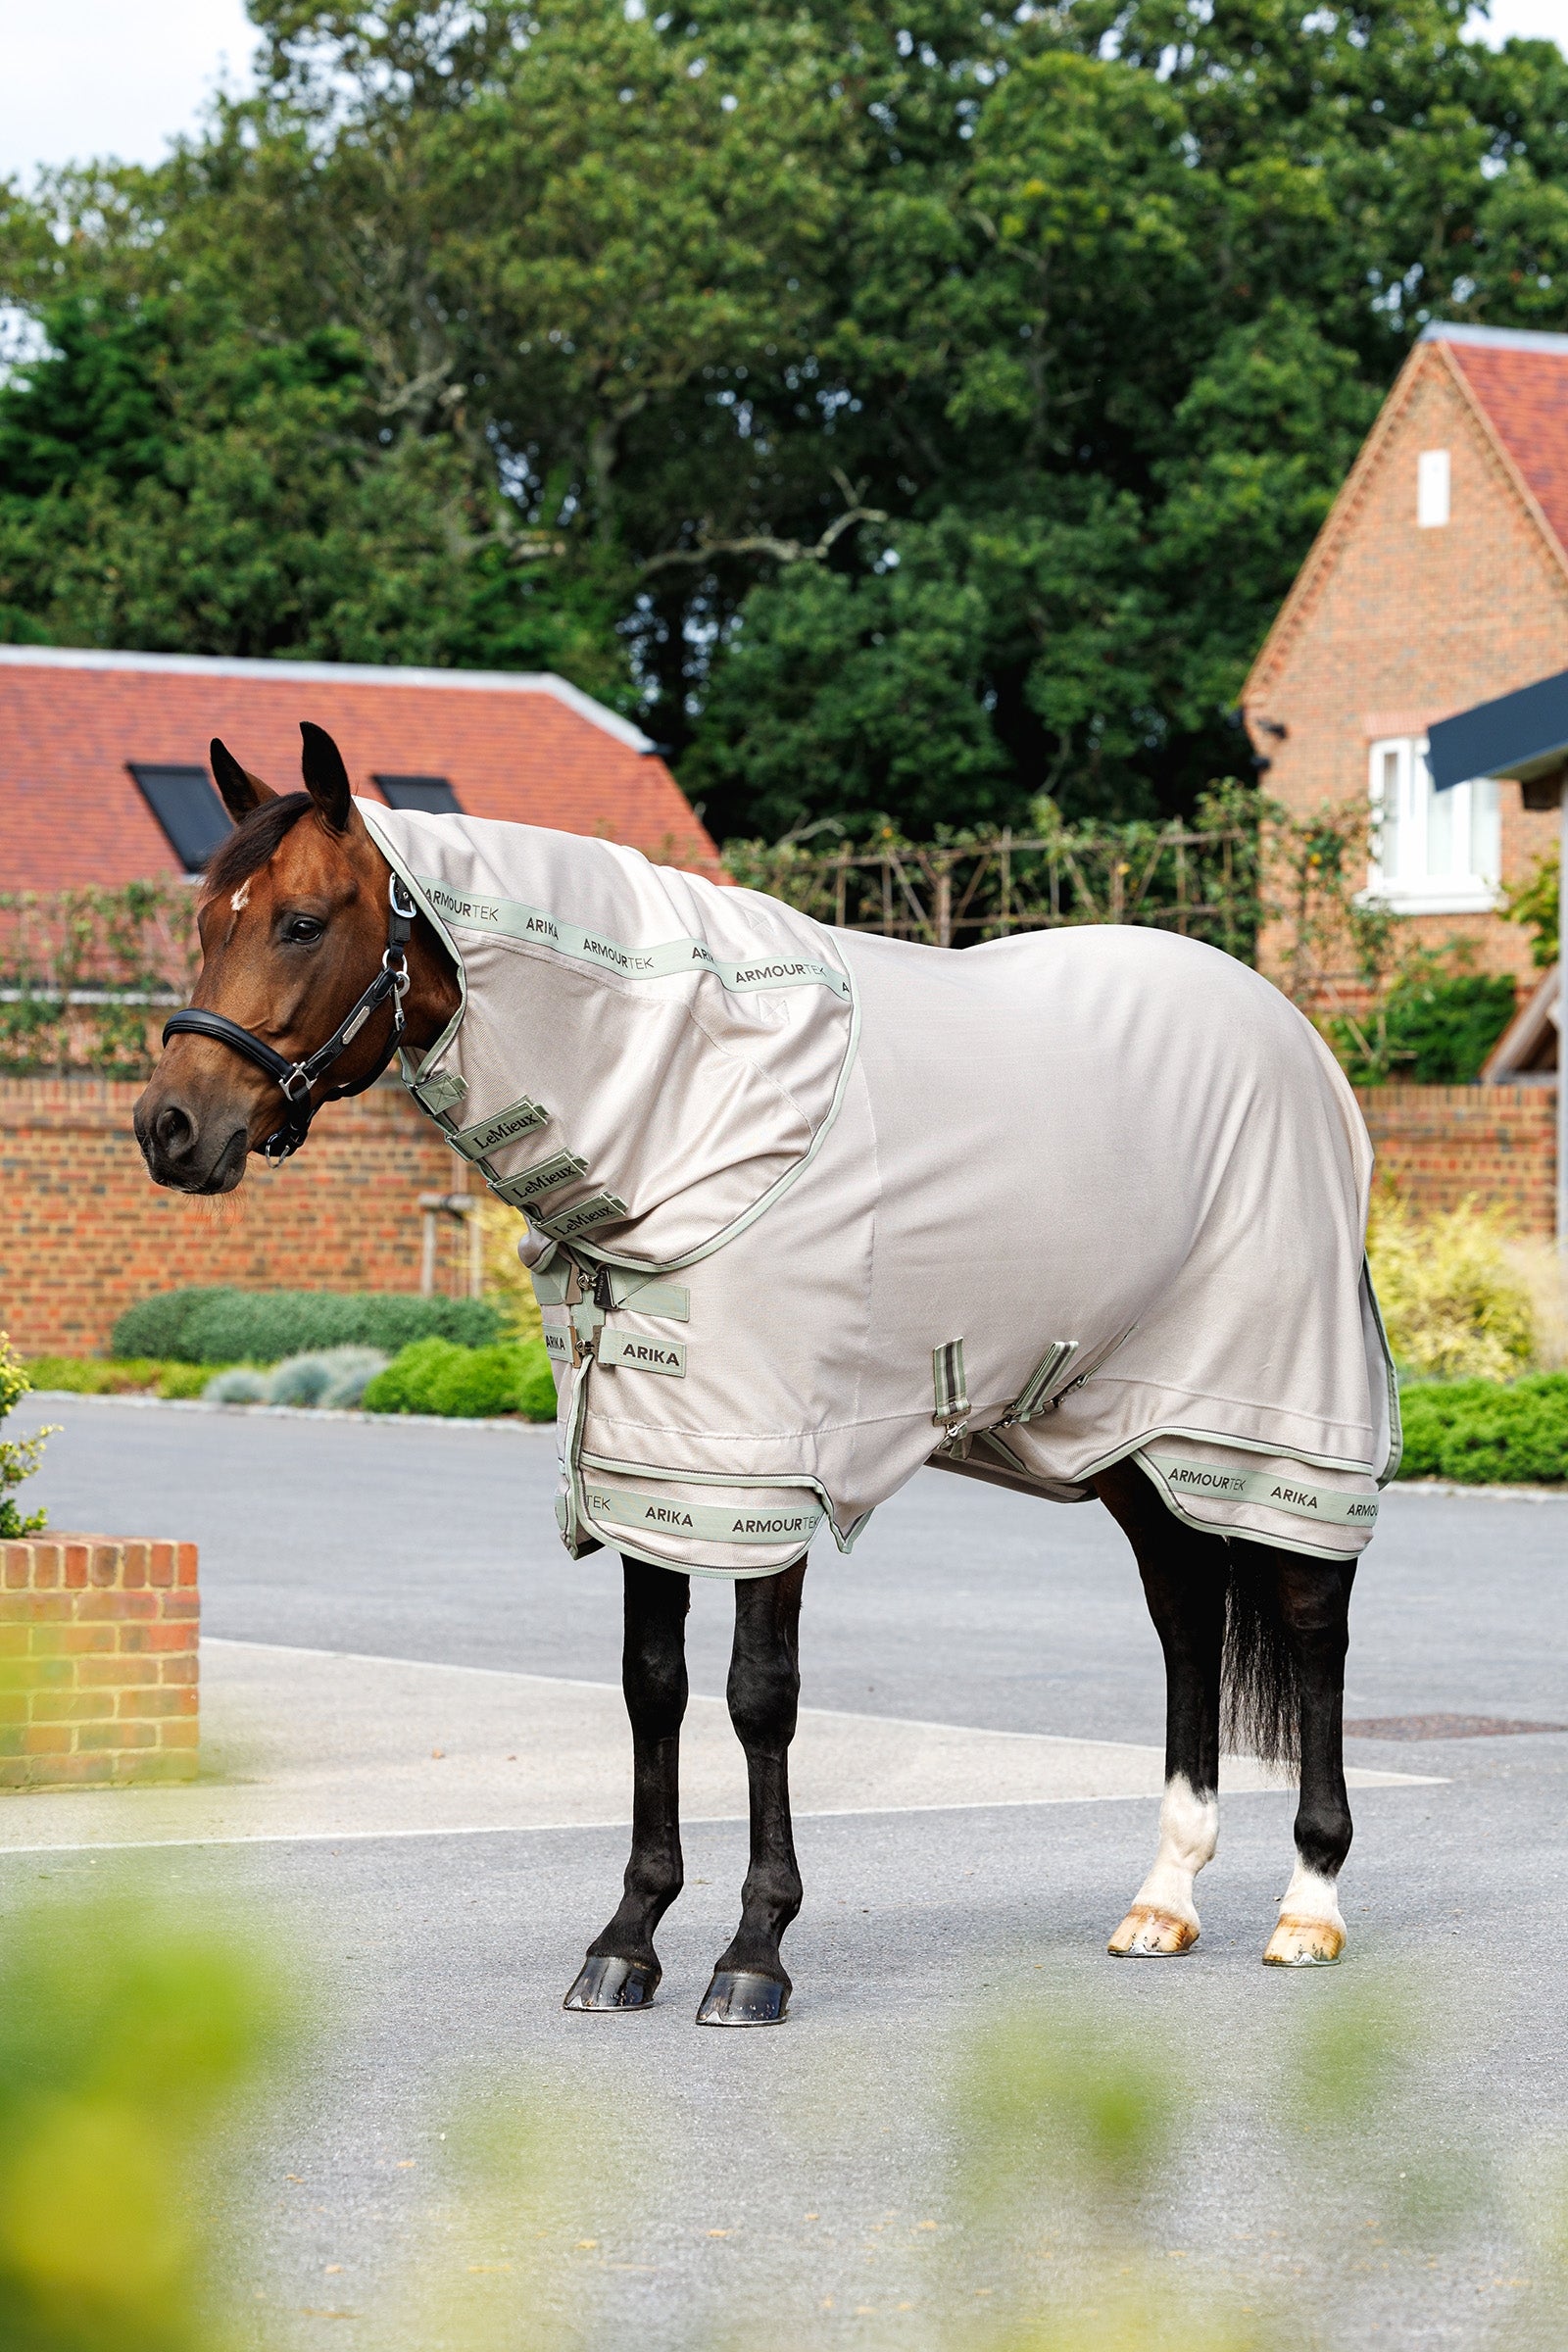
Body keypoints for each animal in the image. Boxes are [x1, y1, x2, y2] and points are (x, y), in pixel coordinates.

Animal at [134, 722, 1396, 2026]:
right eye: (207, 920)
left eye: (299, 922)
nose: (169, 1128)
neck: (695, 1107)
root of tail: (1290, 1037)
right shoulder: (647, 1465)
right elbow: (651, 1686)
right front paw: (627, 1941)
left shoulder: (768, 1467)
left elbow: (758, 1695)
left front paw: (754, 1952)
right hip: (1134, 1436)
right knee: (1187, 1615)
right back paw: (1164, 1898)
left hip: (1280, 1413)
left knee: (1312, 1618)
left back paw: (1308, 1906)